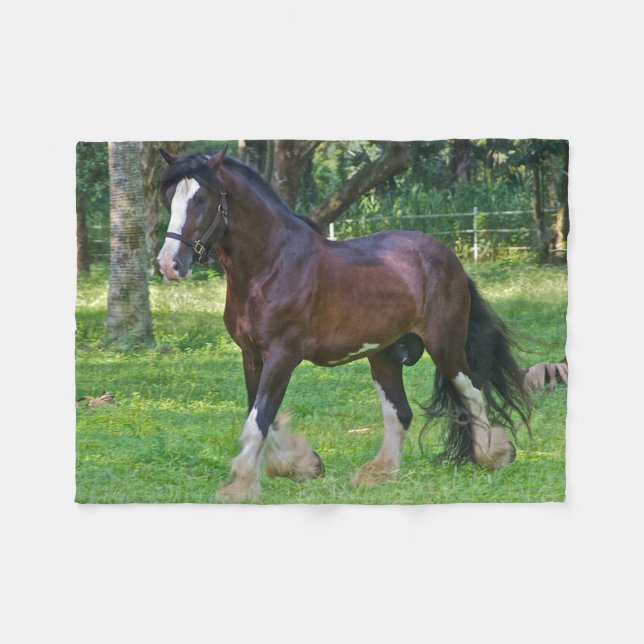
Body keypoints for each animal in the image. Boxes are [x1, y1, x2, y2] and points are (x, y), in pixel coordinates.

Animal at [157, 147, 530, 502]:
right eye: (169, 195)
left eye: (201, 198)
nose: (169, 264)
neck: (272, 266)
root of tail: (449, 258)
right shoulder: (252, 355)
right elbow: (260, 415)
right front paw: (301, 465)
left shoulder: (282, 356)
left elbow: (259, 419)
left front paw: (241, 486)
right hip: (384, 356)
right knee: (400, 413)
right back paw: (378, 473)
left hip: (445, 346)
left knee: (472, 391)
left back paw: (493, 454)